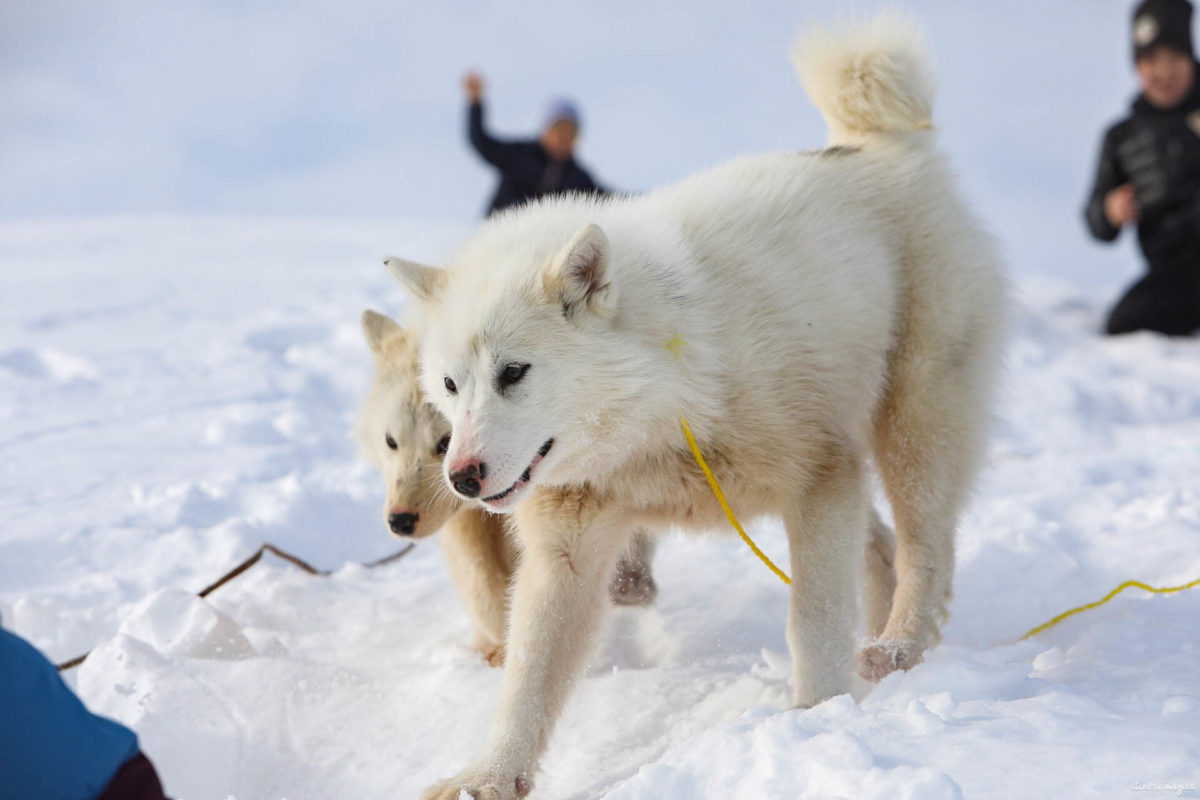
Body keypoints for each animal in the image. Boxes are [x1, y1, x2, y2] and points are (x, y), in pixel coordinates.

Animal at [350, 309, 662, 666]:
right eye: (391, 441)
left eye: (444, 442)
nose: (400, 521)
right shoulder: (464, 514)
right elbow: (479, 578)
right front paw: (497, 642)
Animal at [391, 14, 1003, 800]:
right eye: (450, 386)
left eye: (514, 373)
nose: (461, 478)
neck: (661, 403)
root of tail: (881, 144)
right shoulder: (566, 550)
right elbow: (527, 679)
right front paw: (489, 778)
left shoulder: (819, 481)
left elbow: (813, 619)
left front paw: (814, 720)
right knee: (883, 549)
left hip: (913, 429)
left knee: (928, 549)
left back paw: (898, 646)